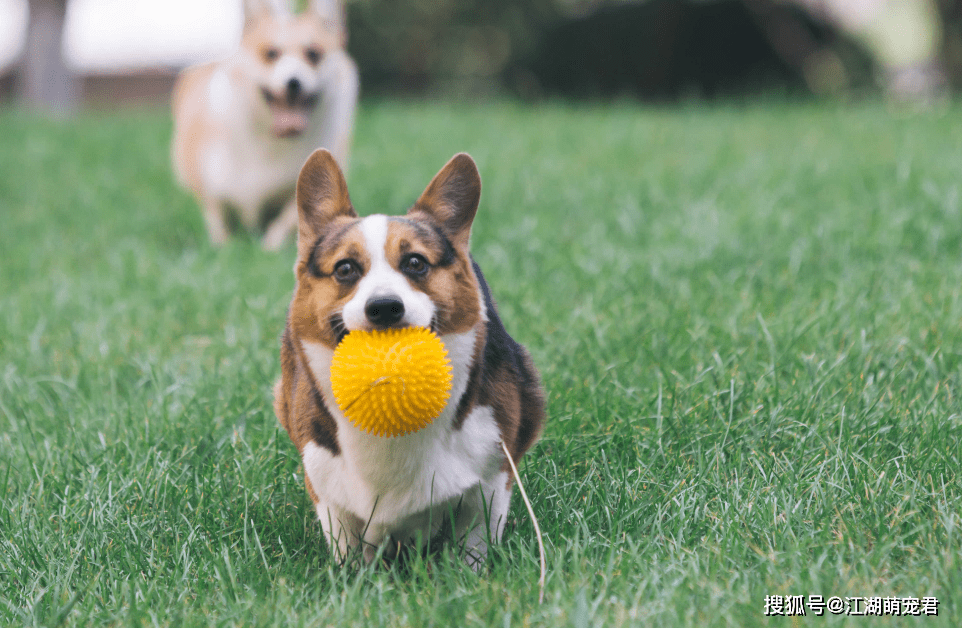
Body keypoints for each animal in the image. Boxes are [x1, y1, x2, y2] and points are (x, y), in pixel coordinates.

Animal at [171, 0, 358, 250]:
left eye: (313, 54)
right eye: (271, 53)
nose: (293, 82)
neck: (272, 142)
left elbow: (288, 218)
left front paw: (269, 247)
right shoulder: (210, 183)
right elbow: (216, 216)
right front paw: (222, 246)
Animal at [276, 150, 548, 568]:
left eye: (416, 263)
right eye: (345, 268)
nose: (385, 307)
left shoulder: (491, 482)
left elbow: (475, 542)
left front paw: (469, 573)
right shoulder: (327, 487)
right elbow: (346, 547)